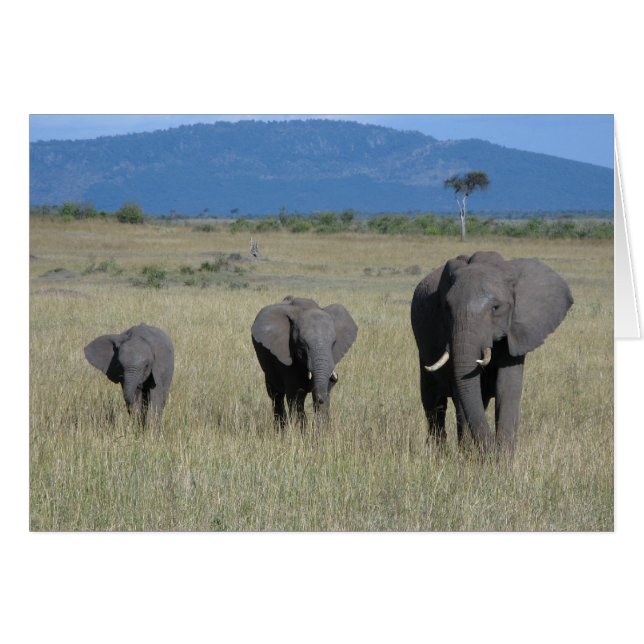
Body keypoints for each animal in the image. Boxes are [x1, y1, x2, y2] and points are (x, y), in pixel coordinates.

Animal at [251, 295, 358, 427]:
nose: (334, 378)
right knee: (276, 395)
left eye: (334, 343)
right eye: (302, 345)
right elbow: (296, 396)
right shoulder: (287, 359)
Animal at [410, 251, 573, 456]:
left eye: (496, 308)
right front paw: (472, 458)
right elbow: (461, 393)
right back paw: (440, 455)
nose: (490, 452)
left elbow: (507, 388)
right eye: (447, 308)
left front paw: (503, 460)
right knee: (434, 404)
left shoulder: (515, 332)